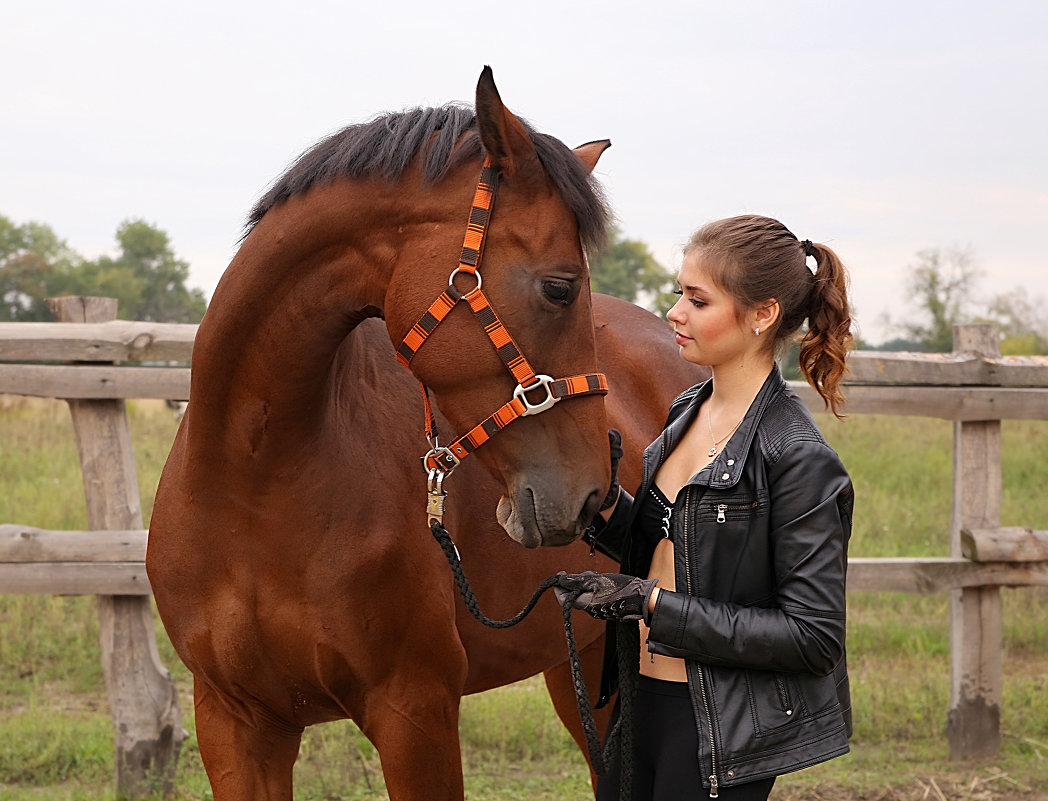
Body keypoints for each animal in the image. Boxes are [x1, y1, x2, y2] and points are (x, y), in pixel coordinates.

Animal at [147, 70, 708, 801]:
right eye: (561, 288)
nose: (593, 494)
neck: (253, 486)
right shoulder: (234, 721)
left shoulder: (414, 711)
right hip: (578, 662)